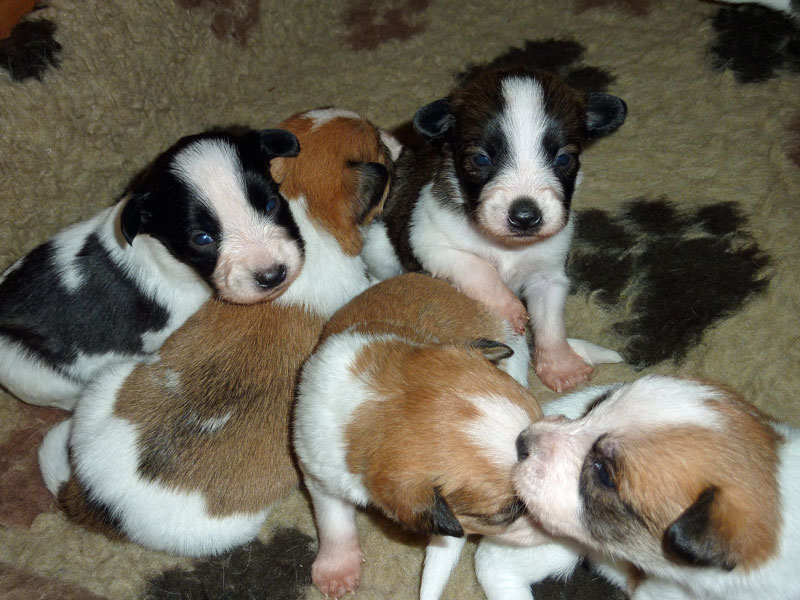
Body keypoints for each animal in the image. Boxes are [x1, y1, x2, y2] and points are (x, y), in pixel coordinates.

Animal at [37, 108, 399, 556]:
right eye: (379, 146)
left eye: (270, 202)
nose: (392, 136)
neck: (304, 212)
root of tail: (95, 500)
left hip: (107, 383)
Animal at [362, 66, 627, 393]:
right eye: (480, 159)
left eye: (564, 158)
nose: (525, 216)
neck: (508, 246)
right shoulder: (431, 243)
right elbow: (479, 267)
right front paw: (508, 307)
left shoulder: (548, 275)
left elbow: (551, 323)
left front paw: (560, 365)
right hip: (380, 249)